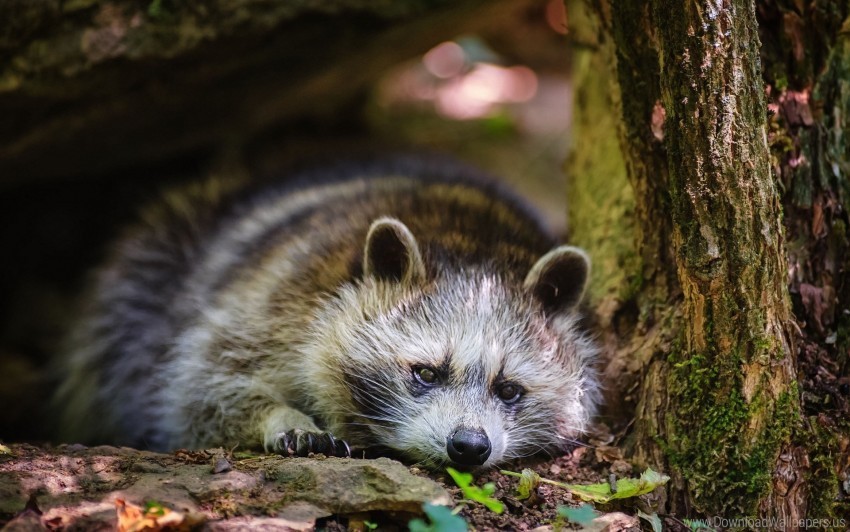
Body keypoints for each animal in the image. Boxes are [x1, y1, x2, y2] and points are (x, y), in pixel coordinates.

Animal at [54, 156, 596, 468]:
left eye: (509, 390)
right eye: (425, 373)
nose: (469, 446)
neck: (471, 246)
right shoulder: (273, 300)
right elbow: (199, 389)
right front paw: (278, 416)